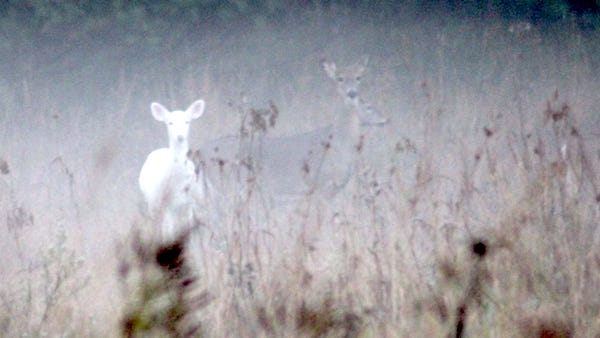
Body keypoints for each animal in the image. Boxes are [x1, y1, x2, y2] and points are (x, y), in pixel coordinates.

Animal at [138, 99, 206, 242]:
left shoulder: (191, 203)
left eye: (187, 121)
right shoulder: (167, 205)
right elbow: (169, 232)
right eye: (170, 122)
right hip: (153, 204)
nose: (180, 136)